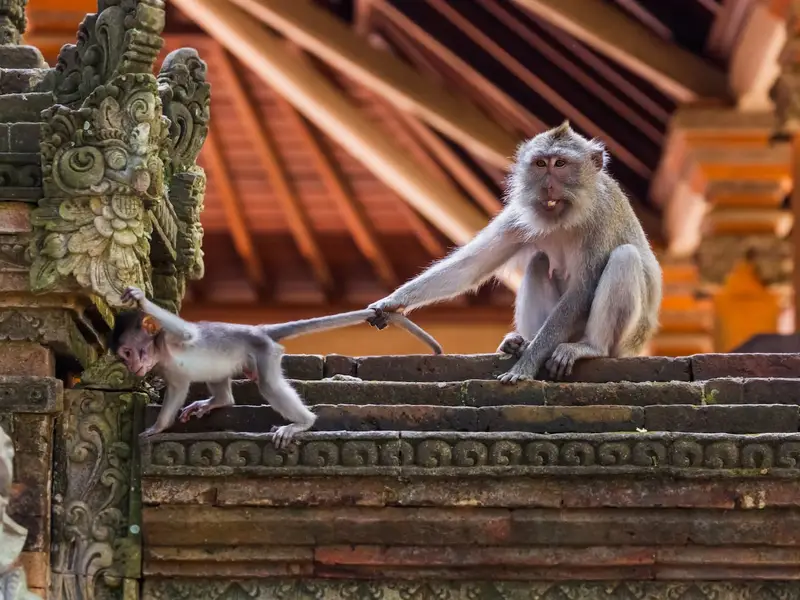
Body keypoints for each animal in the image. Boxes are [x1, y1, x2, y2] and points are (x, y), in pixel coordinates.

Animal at [110, 286, 443, 447]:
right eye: (124, 356)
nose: (132, 366)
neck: (161, 352)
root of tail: (258, 330)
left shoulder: (173, 337)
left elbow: (187, 332)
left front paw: (141, 300)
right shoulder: (168, 370)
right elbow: (178, 389)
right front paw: (160, 426)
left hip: (265, 352)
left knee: (269, 385)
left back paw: (303, 422)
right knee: (222, 381)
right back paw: (218, 401)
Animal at [368, 121, 662, 384]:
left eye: (560, 164)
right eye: (541, 164)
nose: (547, 186)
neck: (566, 217)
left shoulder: (601, 218)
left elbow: (582, 289)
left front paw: (527, 365)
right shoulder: (519, 216)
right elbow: (472, 266)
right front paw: (391, 302)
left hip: (627, 341)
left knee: (625, 257)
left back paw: (589, 347)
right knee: (539, 261)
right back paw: (521, 342)